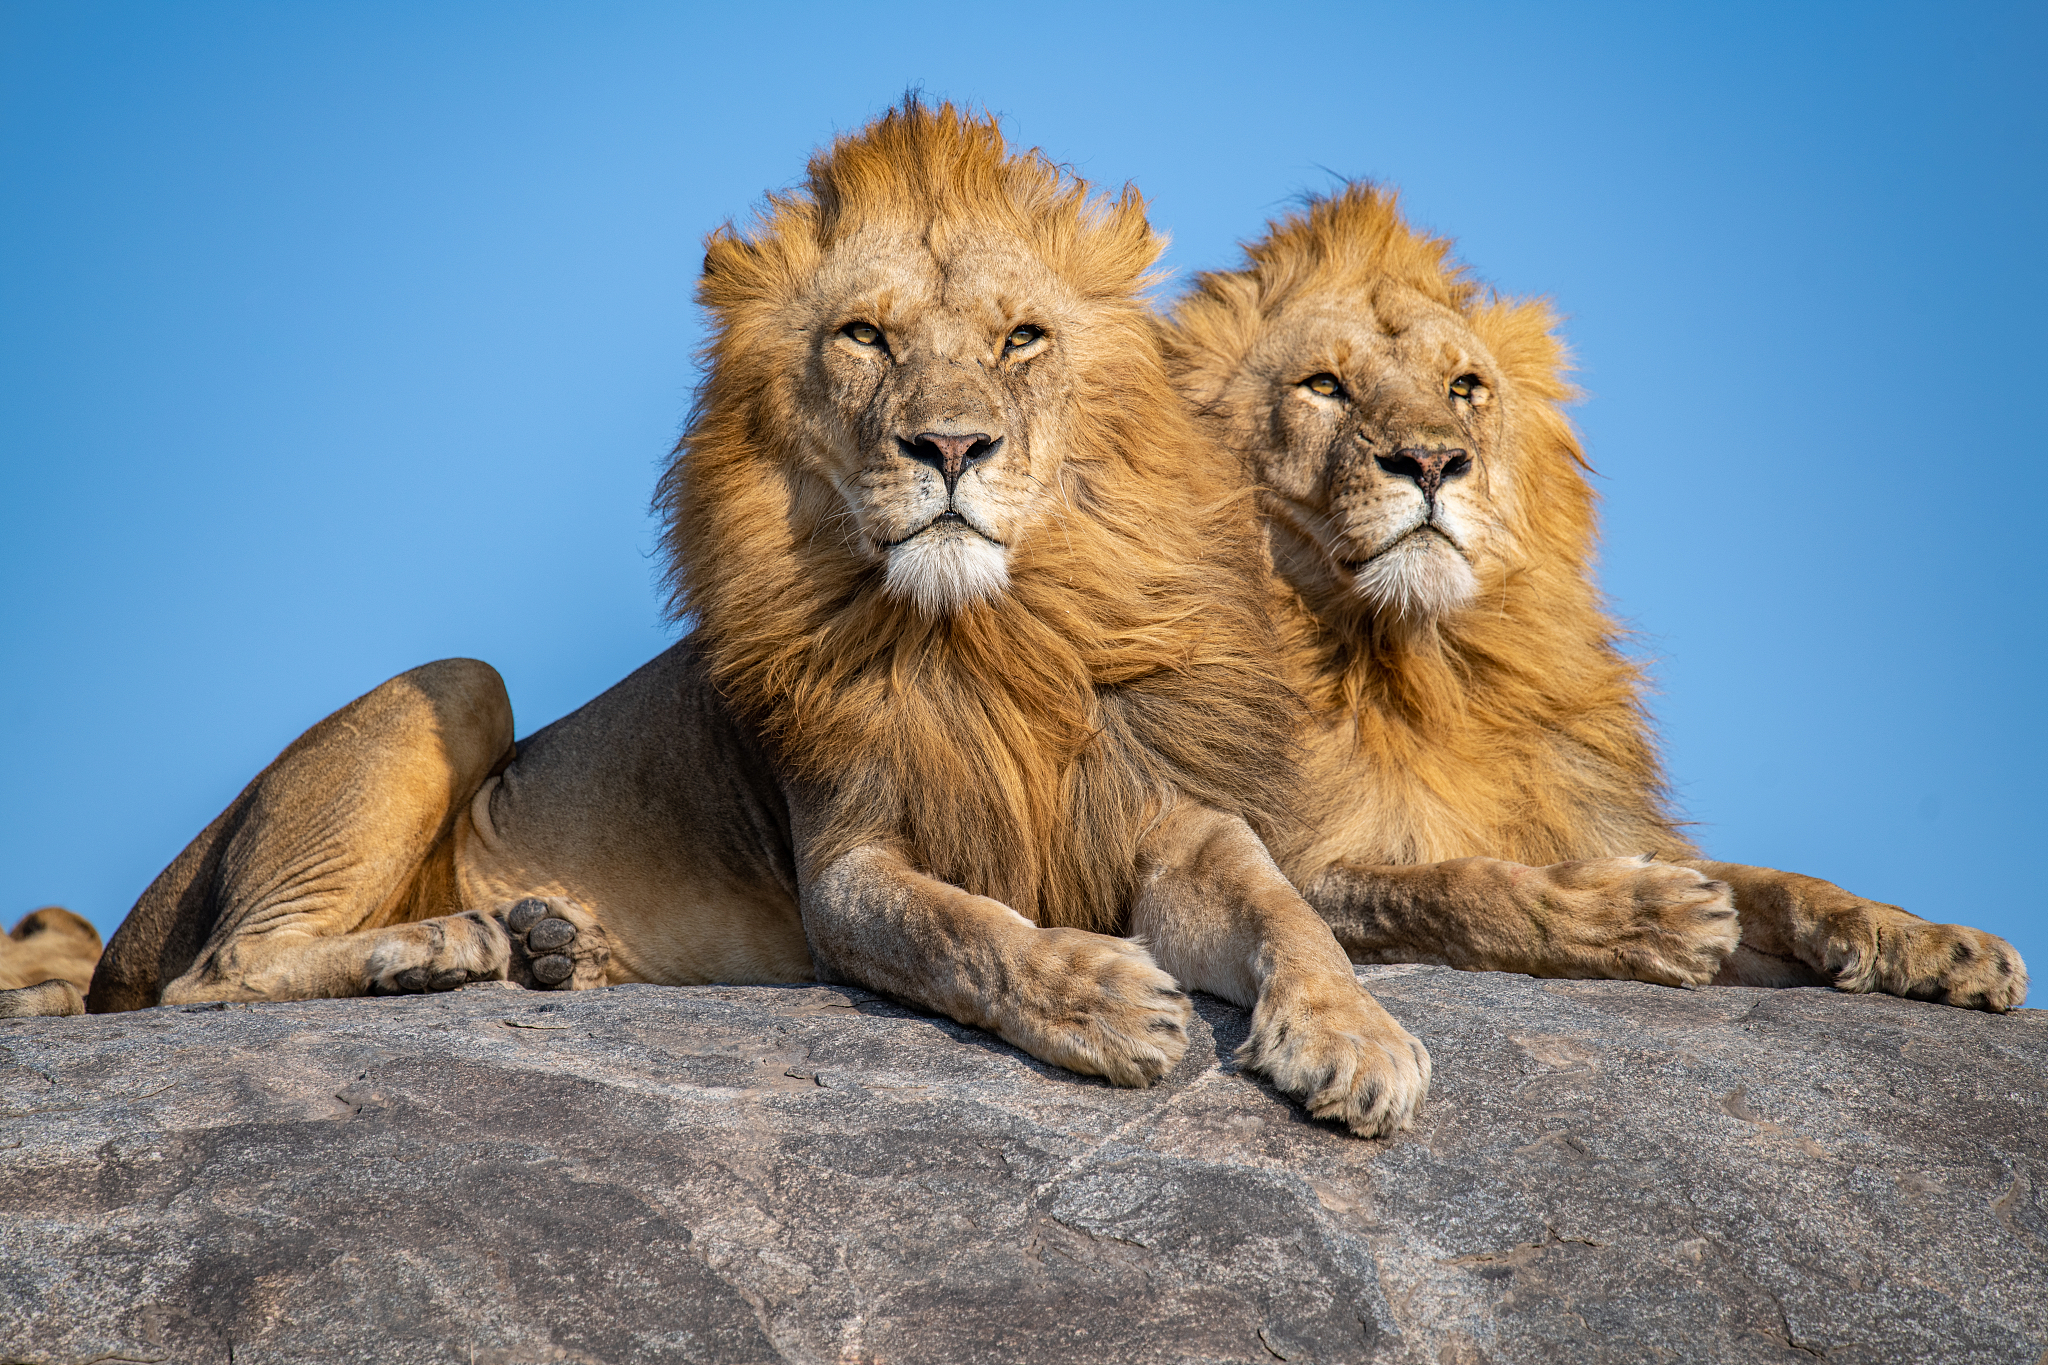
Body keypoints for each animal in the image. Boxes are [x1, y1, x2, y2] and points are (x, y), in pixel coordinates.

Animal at [56, 105, 1430, 1136]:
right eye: (865, 336)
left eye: (1021, 340)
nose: (949, 447)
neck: (997, 634)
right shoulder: (847, 863)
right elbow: (962, 933)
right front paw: (1094, 997)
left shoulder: (1162, 815)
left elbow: (1284, 911)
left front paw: (1358, 1040)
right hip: (453, 682)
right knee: (208, 977)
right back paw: (443, 946)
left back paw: (543, 947)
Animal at [1163, 183, 2027, 1011]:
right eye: (1324, 386)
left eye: (1463, 387)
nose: (1433, 461)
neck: (1409, 665)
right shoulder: (1281, 856)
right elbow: (1451, 886)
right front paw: (1656, 915)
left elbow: (1779, 881)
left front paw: (1938, 943)